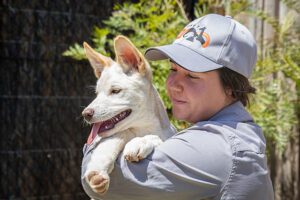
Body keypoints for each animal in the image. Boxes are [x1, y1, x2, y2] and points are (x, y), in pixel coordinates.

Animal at [81, 36, 177, 195]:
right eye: (97, 93)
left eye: (115, 91)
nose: (85, 114)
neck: (141, 128)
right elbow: (117, 136)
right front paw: (97, 169)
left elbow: (155, 138)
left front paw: (140, 142)